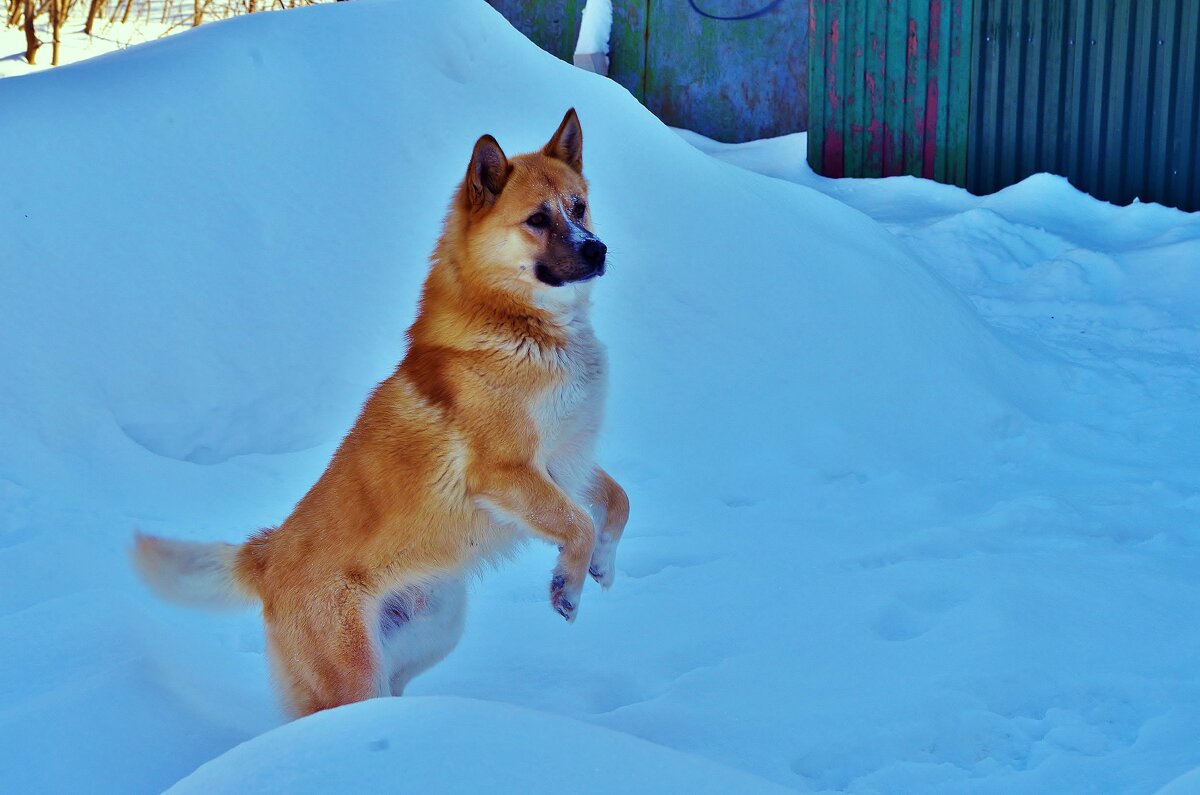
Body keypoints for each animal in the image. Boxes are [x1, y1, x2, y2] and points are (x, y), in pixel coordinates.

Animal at [133, 112, 628, 720]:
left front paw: (603, 565)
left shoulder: (568, 460)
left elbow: (614, 503)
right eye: (538, 218)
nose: (597, 249)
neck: (520, 328)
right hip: (354, 670)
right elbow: (578, 522)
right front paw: (567, 587)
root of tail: (267, 556)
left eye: (579, 207)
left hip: (435, 625)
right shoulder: (506, 472)